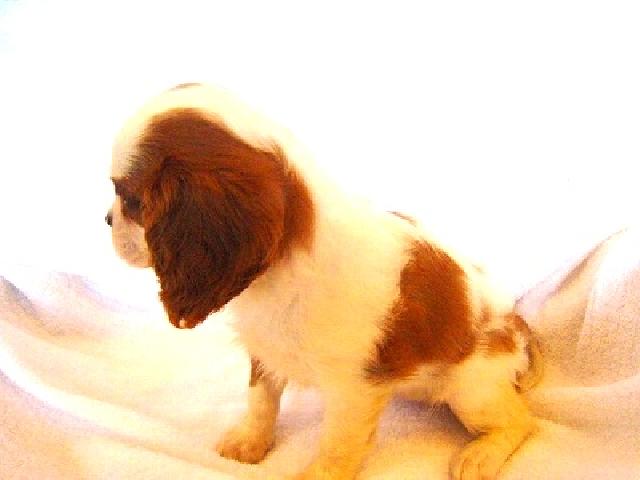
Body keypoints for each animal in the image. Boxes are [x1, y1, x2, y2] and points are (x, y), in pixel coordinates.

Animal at [106, 83, 541, 480]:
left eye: (131, 201)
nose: (107, 219)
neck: (281, 274)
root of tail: (516, 326)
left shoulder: (353, 389)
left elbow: (336, 444)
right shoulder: (265, 351)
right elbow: (261, 400)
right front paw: (250, 441)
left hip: (470, 389)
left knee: (523, 421)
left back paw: (482, 453)